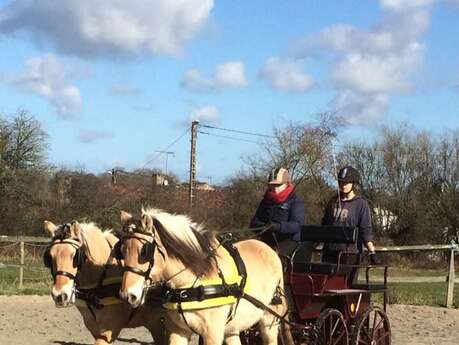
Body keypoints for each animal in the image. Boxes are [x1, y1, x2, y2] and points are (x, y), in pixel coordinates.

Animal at [117, 207, 292, 344]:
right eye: (122, 251)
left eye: (144, 252)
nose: (127, 296)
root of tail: (270, 249)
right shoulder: (177, 330)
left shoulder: (212, 333)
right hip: (233, 328)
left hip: (269, 322)